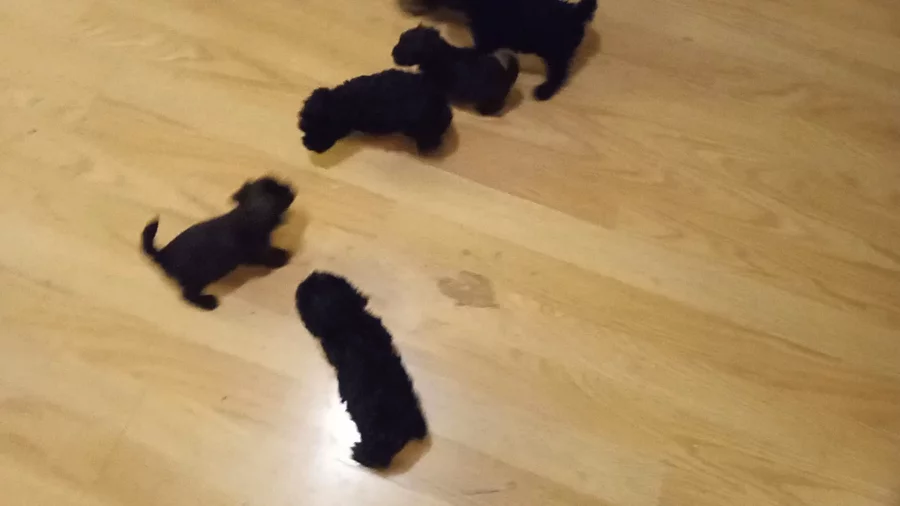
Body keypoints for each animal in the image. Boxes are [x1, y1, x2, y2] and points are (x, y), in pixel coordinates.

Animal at [141, 177, 295, 310]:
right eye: (282, 191)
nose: (291, 186)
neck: (246, 217)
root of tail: (162, 254)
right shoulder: (256, 253)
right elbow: (267, 256)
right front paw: (280, 258)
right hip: (198, 279)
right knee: (187, 295)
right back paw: (206, 302)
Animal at [400, 0, 597, 101]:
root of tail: (576, 13)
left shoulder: (486, 41)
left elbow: (473, 52)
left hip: (556, 54)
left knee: (560, 74)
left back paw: (544, 91)